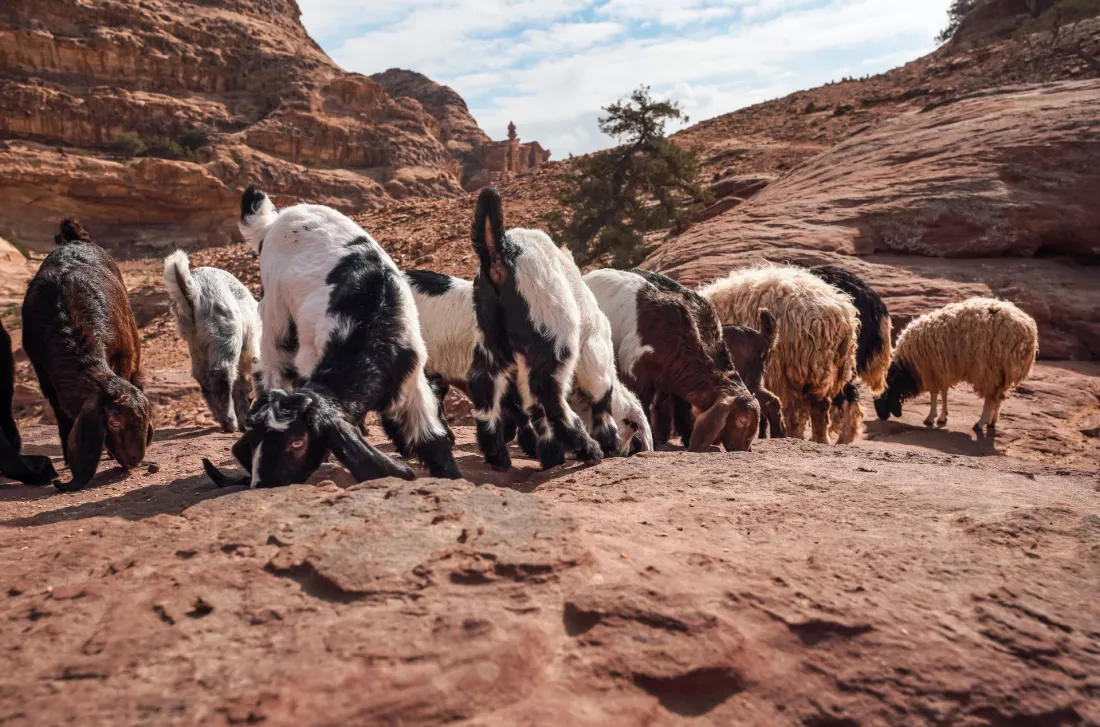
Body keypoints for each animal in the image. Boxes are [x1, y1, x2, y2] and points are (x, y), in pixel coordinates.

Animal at [22, 219, 153, 492]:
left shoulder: (123, 353)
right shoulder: (43, 373)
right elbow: (61, 414)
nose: (135, 459)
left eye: (145, 418)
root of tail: (75, 238)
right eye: (114, 422)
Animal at [163, 250, 261, 433]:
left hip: (196, 343)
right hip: (224, 334)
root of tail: (193, 290)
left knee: (203, 377)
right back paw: (230, 423)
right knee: (221, 374)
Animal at [204, 187, 459, 489]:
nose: (263, 484)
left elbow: (431, 440)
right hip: (276, 312)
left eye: (297, 442)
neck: (367, 324)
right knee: (272, 366)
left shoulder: (412, 380)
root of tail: (274, 219)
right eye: (255, 440)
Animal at [468, 187, 628, 471]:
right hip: (554, 331)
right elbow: (601, 396)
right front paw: (608, 442)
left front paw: (551, 455)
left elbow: (533, 408)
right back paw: (589, 449)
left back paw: (498, 456)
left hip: (490, 337)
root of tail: (501, 249)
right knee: (548, 389)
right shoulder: (594, 352)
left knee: (484, 384)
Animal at [874, 297, 1038, 432]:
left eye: (884, 393)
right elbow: (944, 392)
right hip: (1003, 370)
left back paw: (980, 423)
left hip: (990, 370)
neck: (907, 365)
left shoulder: (932, 369)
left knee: (990, 398)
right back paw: (992, 421)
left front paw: (931, 417)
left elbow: (934, 394)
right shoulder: (942, 368)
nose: (880, 416)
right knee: (998, 397)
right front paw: (942, 417)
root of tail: (1027, 333)